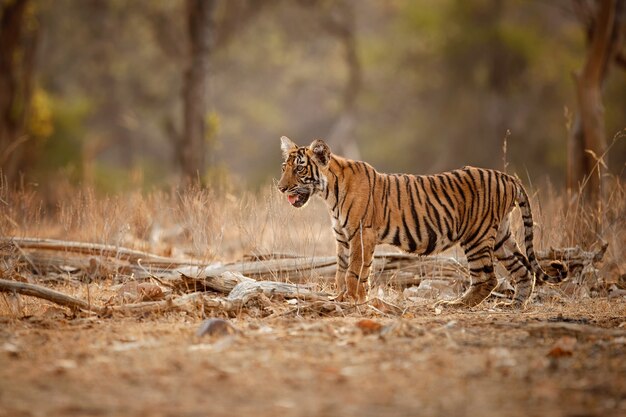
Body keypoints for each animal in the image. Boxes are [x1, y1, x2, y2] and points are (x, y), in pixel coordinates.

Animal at [276, 136, 564, 306]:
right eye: (284, 167)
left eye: (300, 168)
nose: (280, 188)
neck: (328, 193)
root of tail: (508, 177)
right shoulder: (342, 237)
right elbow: (341, 270)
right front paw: (344, 297)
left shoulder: (360, 234)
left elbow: (354, 270)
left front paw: (353, 299)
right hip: (501, 234)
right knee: (524, 270)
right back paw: (516, 306)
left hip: (477, 235)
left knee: (488, 278)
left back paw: (456, 304)